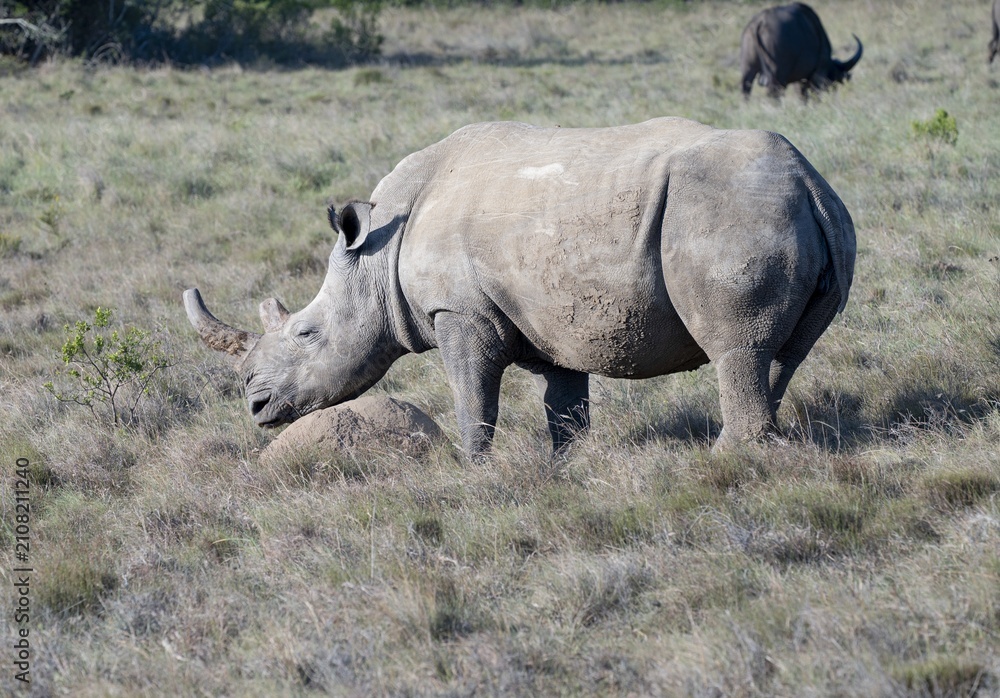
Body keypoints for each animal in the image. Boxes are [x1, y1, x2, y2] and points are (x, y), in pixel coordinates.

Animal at [184, 117, 856, 457]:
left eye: (307, 333)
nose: (256, 407)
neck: (373, 257)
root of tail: (808, 180)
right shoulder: (550, 314)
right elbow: (565, 404)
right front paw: (566, 466)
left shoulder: (458, 310)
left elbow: (473, 398)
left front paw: (472, 469)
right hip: (800, 215)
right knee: (783, 353)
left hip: (728, 209)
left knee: (737, 347)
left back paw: (729, 461)